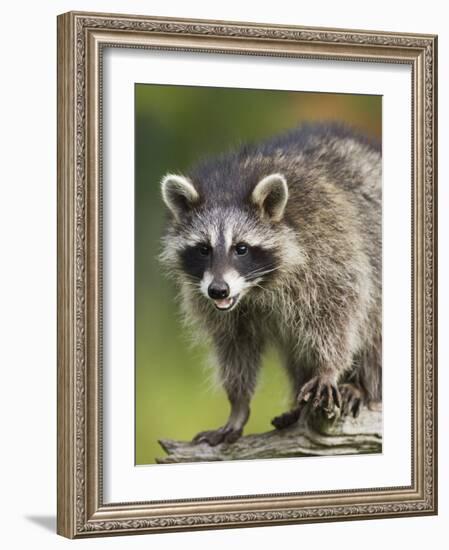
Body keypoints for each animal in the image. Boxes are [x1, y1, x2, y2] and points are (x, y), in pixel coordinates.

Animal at [159, 123, 380, 446]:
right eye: (203, 249)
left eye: (241, 249)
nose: (219, 290)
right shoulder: (211, 300)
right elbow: (234, 346)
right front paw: (238, 404)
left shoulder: (329, 248)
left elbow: (341, 311)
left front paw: (328, 369)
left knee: (373, 326)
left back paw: (364, 387)